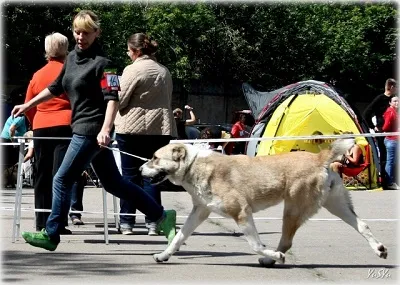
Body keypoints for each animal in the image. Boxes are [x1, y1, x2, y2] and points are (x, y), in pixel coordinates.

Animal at [140, 139, 388, 266]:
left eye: (154, 158)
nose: (140, 169)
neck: (194, 165)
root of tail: (320, 157)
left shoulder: (241, 212)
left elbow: (255, 244)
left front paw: (270, 254)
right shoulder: (199, 212)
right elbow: (179, 238)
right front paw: (163, 255)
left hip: (293, 209)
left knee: (286, 242)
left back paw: (273, 258)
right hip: (336, 205)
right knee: (362, 225)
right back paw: (379, 249)